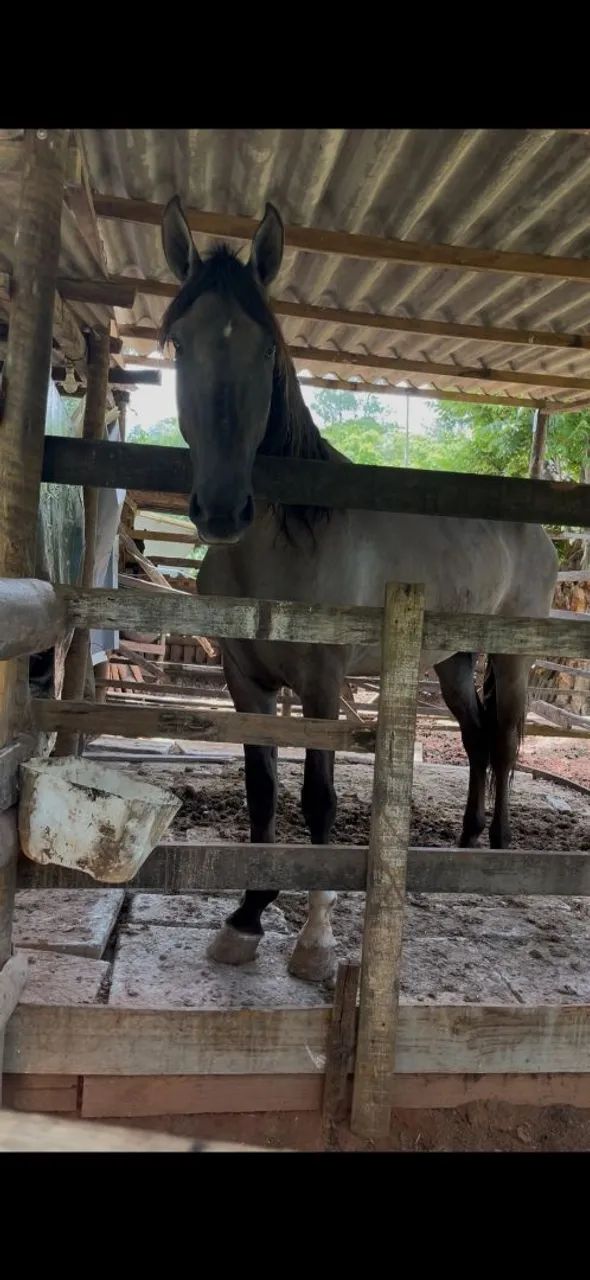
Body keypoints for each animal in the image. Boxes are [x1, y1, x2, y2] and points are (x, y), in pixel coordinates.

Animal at [159, 195, 558, 985]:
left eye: (266, 350)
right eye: (180, 343)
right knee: (474, 738)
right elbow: (261, 790)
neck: (287, 541)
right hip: (450, 660)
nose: (221, 510)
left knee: (503, 741)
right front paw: (245, 918)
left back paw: (501, 852)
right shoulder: (245, 682)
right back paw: (462, 844)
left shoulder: (323, 684)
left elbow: (318, 799)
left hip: (513, 657)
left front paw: (314, 943)